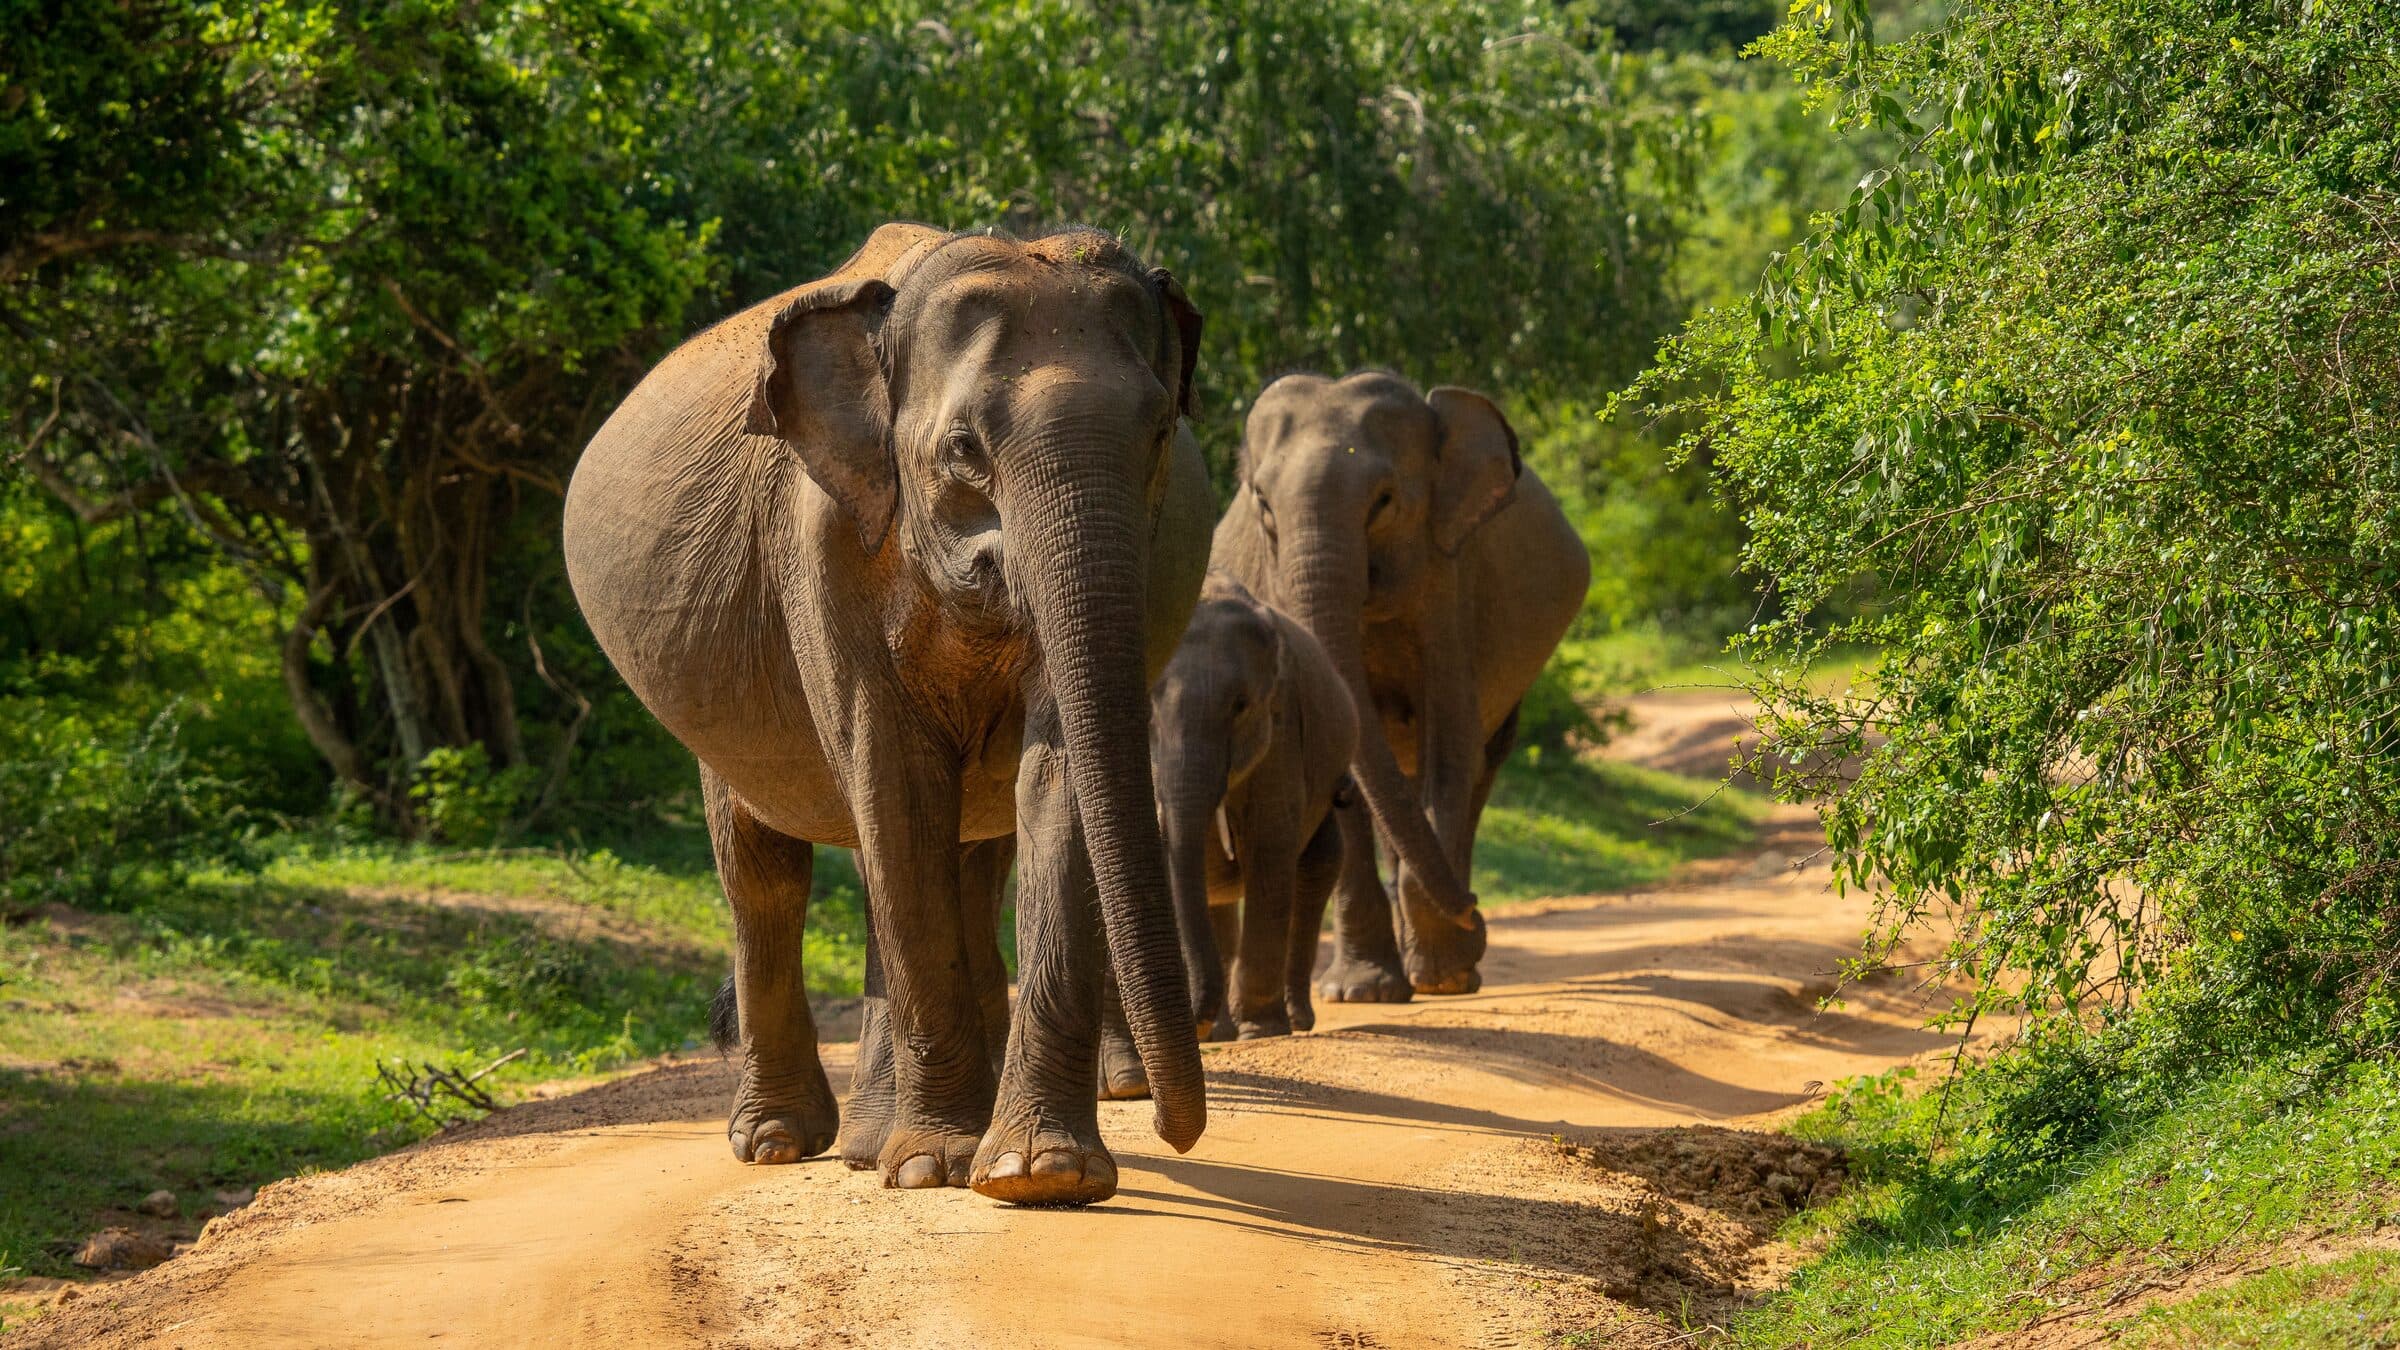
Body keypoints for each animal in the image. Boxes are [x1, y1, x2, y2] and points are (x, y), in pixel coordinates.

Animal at [563, 222, 1216, 1206]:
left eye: (1158, 436)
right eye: (965, 449)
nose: (1180, 1131)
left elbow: (1054, 778)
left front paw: (1036, 1175)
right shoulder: (824, 543)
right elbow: (896, 783)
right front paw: (937, 1167)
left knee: (944, 859)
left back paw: (875, 1142)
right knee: (766, 872)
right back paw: (785, 1142)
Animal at [1096, 572, 1358, 1093]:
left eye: (1240, 707)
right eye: (1145, 709)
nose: (1194, 1023)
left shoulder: (1282, 726)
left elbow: (1269, 849)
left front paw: (1261, 1030)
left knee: (1316, 868)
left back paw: (1291, 1020)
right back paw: (1222, 1031)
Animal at [1212, 371, 1589, 1000]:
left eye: (1384, 502)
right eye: (1263, 503)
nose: (1478, 912)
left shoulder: (1448, 581)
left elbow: (1452, 747)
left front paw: (1445, 977)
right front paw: (1359, 993)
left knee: (1478, 768)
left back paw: (1448, 967)